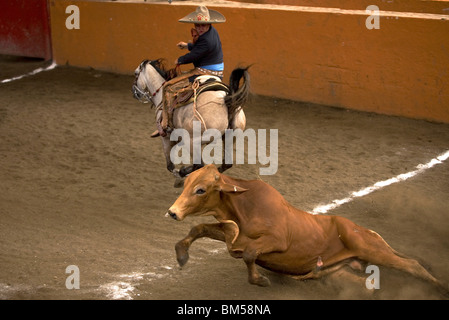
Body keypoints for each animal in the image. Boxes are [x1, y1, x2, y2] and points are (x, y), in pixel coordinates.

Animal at [166, 164, 446, 294]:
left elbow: (249, 255)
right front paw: (181, 255)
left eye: (201, 189)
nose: (172, 212)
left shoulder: (276, 240)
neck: (243, 206)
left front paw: (260, 280)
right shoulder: (232, 235)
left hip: (372, 250)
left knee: (412, 265)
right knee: (366, 285)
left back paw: (441, 286)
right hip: (340, 270)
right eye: (186, 184)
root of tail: (366, 230)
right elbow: (199, 228)